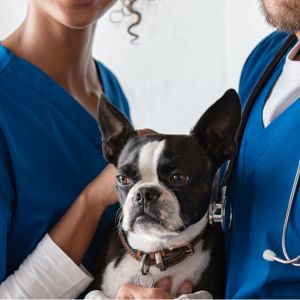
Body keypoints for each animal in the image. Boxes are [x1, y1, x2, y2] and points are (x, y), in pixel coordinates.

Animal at [89, 90, 241, 298]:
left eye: (178, 178)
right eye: (122, 179)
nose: (144, 193)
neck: (155, 251)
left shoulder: (211, 290)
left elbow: (197, 295)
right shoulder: (94, 287)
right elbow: (95, 294)